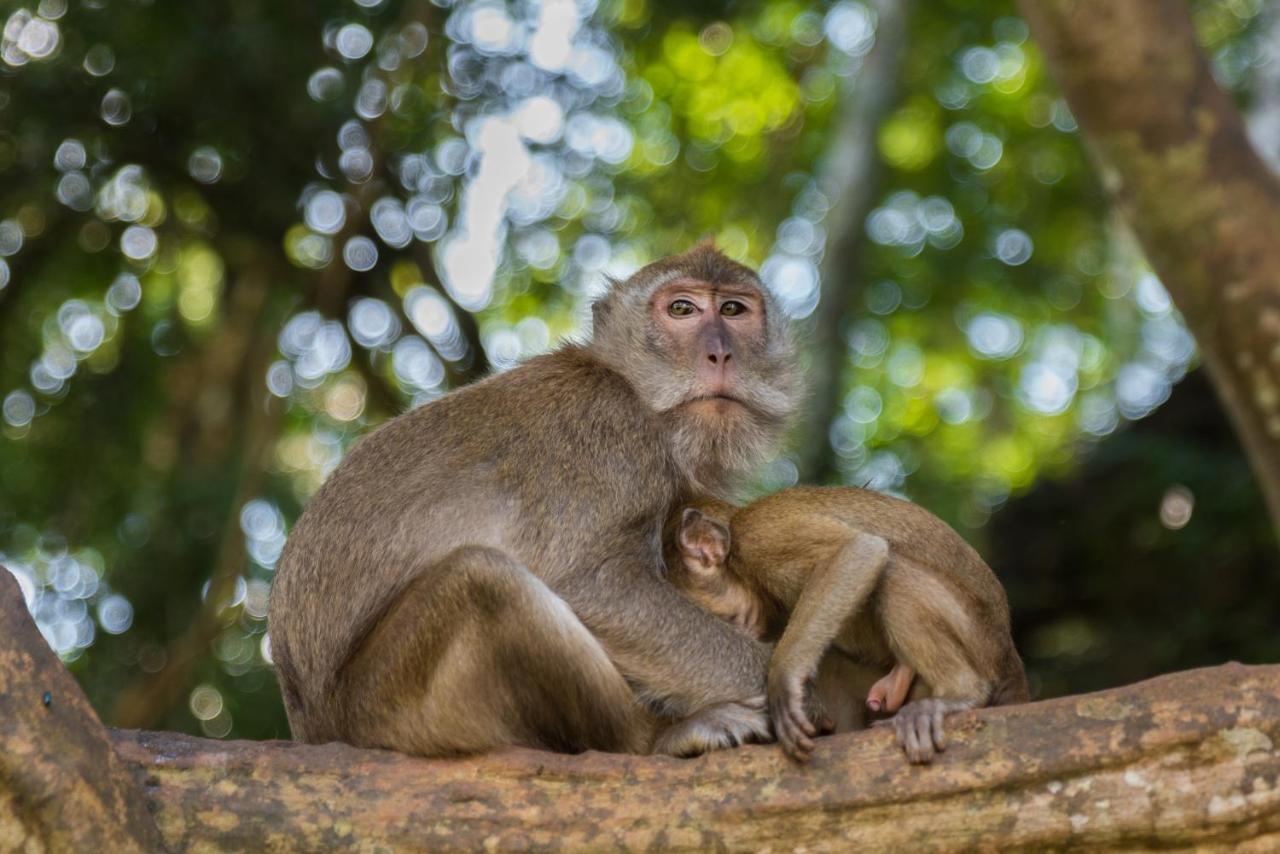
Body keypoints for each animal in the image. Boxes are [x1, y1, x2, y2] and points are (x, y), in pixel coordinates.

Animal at [268, 243, 798, 757]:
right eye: (682, 309)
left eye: (733, 310)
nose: (720, 353)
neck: (633, 389)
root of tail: (313, 726)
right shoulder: (608, 437)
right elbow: (595, 587)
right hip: (389, 706)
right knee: (483, 580)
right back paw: (655, 736)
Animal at [670, 486, 1029, 763]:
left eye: (730, 621)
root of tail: (1009, 656)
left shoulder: (759, 536)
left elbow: (856, 550)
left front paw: (782, 678)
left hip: (977, 634)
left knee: (893, 571)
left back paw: (960, 693)